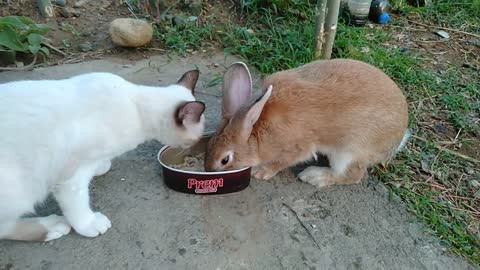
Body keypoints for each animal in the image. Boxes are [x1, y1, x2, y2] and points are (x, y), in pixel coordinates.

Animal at [0, 68, 204, 242]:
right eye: (196, 138)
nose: (195, 145)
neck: (136, 109)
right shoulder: (71, 177)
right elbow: (78, 204)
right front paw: (89, 225)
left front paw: (101, 167)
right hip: (20, 190)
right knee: (5, 228)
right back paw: (52, 227)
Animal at [205, 59, 408, 188]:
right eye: (209, 145)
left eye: (225, 160)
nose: (209, 171)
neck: (255, 132)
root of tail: (396, 141)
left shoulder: (294, 150)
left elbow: (279, 163)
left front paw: (260, 172)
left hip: (349, 152)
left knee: (352, 175)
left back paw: (314, 176)